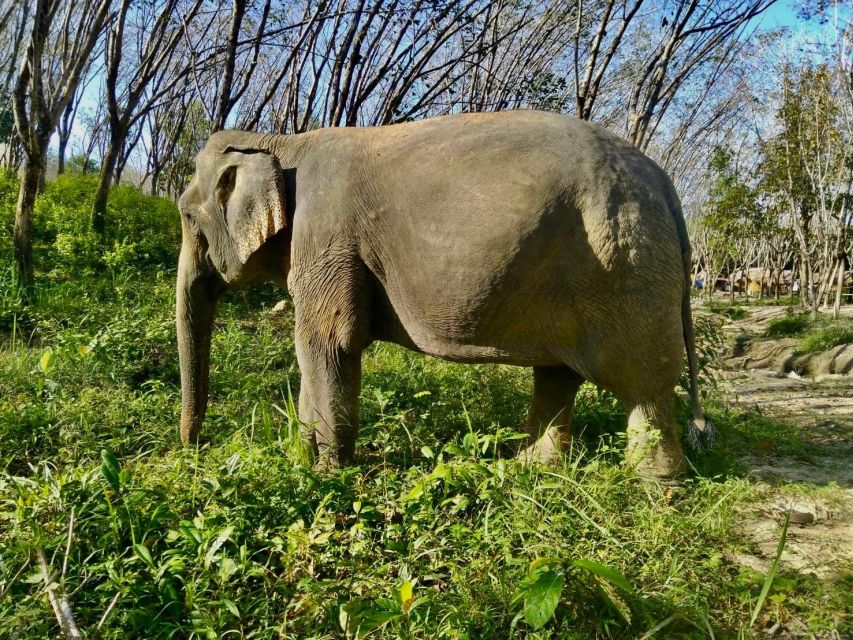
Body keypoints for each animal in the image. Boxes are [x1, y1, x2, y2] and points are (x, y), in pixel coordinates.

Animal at [175, 111, 704, 480]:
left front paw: (325, 474)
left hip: (625, 267)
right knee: (557, 375)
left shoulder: (326, 234)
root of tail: (665, 183)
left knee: (641, 382)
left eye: (186, 215)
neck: (282, 141)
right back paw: (533, 468)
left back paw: (657, 488)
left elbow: (328, 342)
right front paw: (303, 458)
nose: (194, 449)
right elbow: (321, 350)